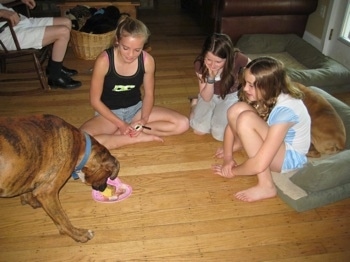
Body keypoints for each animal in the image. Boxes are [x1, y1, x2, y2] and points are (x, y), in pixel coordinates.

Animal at [0, 114, 120, 242]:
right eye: (107, 176)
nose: (103, 188)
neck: (80, 146)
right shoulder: (47, 193)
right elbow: (62, 218)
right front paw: (79, 234)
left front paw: (29, 200)